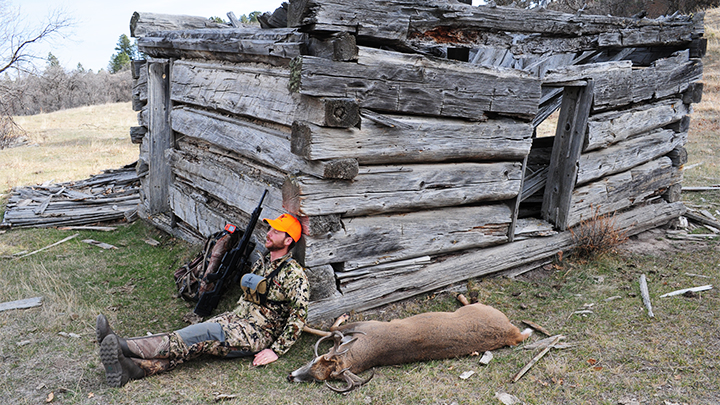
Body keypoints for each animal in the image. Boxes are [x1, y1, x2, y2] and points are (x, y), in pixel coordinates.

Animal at [290, 296, 532, 392]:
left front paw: (306, 323)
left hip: (480, 308)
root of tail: (511, 333)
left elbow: (329, 329)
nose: (290, 376)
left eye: (315, 361)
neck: (361, 353)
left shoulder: (368, 325)